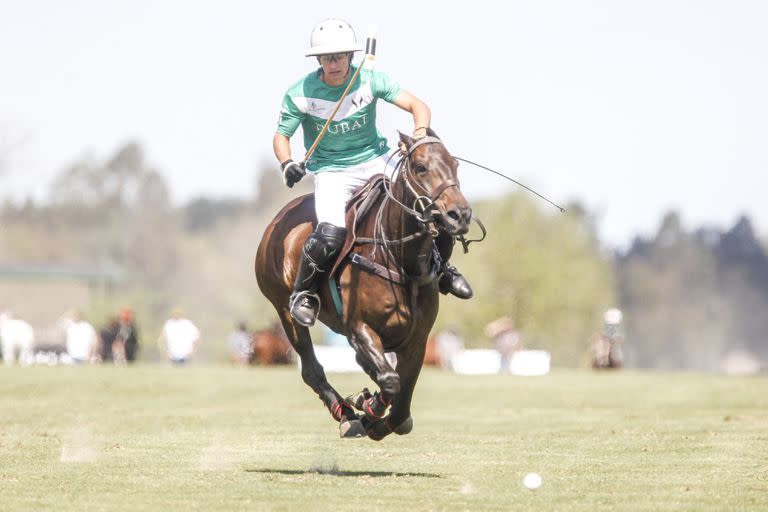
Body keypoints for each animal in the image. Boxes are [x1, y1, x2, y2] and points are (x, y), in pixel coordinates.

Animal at [258, 131, 472, 440]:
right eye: (420, 167)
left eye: (455, 165)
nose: (460, 215)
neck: (398, 257)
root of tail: (277, 219)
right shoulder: (360, 328)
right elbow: (391, 381)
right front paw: (368, 410)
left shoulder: (417, 341)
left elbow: (402, 412)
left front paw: (374, 413)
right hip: (283, 309)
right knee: (311, 368)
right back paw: (346, 414)